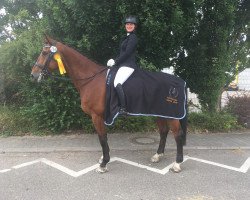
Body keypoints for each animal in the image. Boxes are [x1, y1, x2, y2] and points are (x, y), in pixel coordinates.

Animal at [30, 36, 188, 173]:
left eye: (44, 52)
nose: (33, 75)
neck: (91, 80)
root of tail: (180, 82)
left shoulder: (96, 116)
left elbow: (102, 138)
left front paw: (104, 164)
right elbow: (104, 137)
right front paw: (103, 159)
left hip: (172, 116)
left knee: (177, 135)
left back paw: (177, 164)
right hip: (160, 112)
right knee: (163, 131)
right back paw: (157, 155)